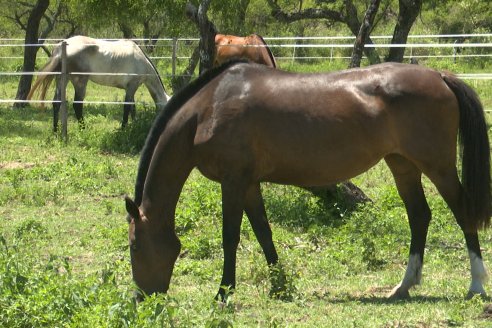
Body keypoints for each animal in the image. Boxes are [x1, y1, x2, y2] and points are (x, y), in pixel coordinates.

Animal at [28, 35, 172, 131]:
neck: (141, 60)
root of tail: (61, 47)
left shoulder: (130, 89)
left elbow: (132, 108)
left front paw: (134, 124)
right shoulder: (132, 86)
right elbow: (127, 107)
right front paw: (123, 128)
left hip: (62, 79)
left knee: (56, 103)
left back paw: (55, 130)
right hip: (80, 82)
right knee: (77, 105)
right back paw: (83, 129)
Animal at [125, 59, 490, 302]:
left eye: (134, 245)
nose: (142, 298)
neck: (210, 107)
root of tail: (439, 76)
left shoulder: (233, 181)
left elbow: (231, 237)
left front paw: (223, 293)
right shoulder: (249, 184)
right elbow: (263, 233)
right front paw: (280, 286)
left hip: (438, 166)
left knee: (462, 212)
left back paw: (475, 285)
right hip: (403, 165)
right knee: (419, 216)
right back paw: (403, 286)